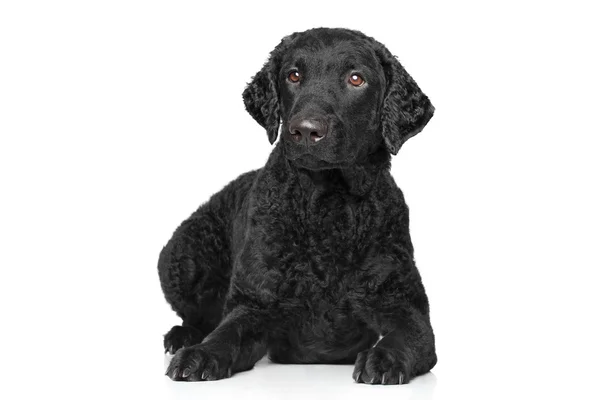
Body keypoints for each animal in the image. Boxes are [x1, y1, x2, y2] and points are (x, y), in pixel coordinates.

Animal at [159, 27, 436, 384]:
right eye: (293, 75)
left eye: (356, 78)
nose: (305, 130)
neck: (328, 210)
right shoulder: (255, 304)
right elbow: (226, 334)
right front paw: (201, 354)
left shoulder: (403, 304)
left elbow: (407, 336)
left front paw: (384, 358)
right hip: (180, 255)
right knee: (199, 317)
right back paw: (183, 337)